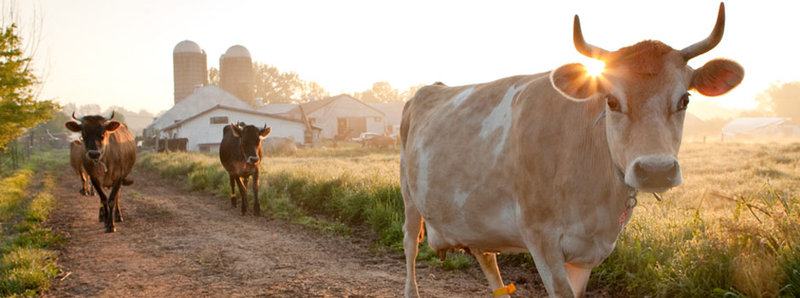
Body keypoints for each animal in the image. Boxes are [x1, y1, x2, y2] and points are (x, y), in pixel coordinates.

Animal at [400, 2, 744, 298]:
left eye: (685, 99)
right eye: (611, 101)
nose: (656, 170)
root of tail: (432, 88)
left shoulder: (586, 253)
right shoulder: (541, 239)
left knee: (486, 256)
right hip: (409, 196)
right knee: (410, 244)